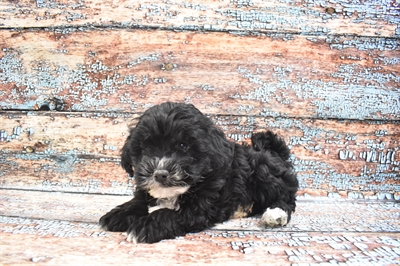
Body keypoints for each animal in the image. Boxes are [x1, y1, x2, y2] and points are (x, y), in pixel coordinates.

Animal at [99, 102, 296, 243]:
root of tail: (274, 154)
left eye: (183, 146)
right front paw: (119, 213)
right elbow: (139, 200)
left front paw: (146, 225)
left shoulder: (202, 206)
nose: (160, 173)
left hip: (264, 173)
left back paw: (276, 213)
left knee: (287, 198)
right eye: (145, 148)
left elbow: (173, 213)